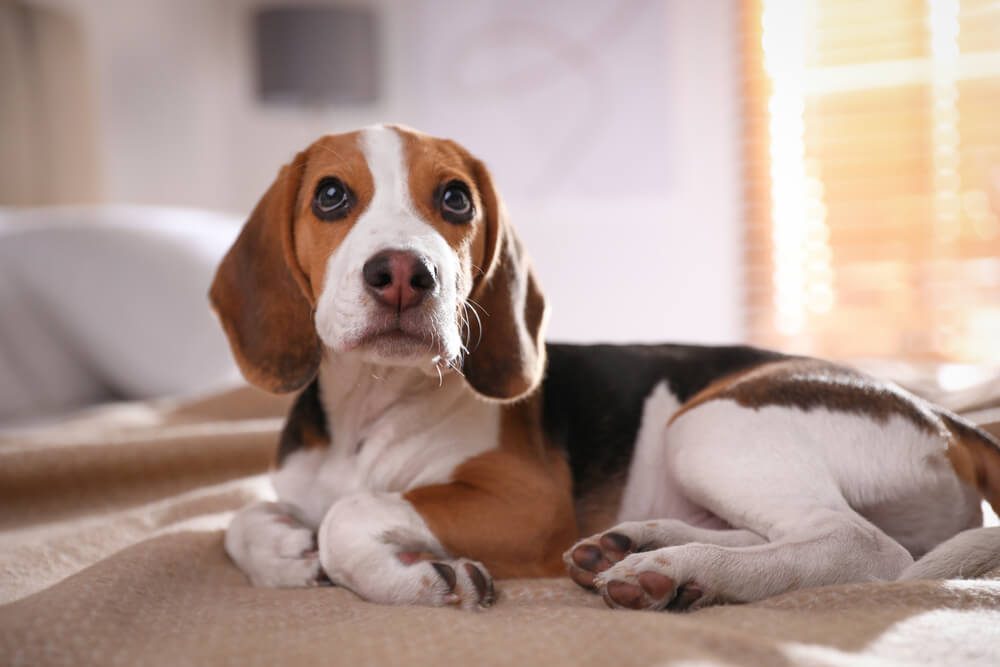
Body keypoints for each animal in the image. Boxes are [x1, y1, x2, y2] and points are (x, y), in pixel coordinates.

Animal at [210, 124, 1000, 611]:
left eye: (455, 199)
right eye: (330, 195)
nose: (406, 273)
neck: (372, 407)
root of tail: (943, 416)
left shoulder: (526, 503)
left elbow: (354, 512)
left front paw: (415, 578)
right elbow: (240, 518)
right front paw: (285, 551)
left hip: (708, 425)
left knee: (858, 544)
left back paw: (676, 569)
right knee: (789, 534)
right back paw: (639, 546)